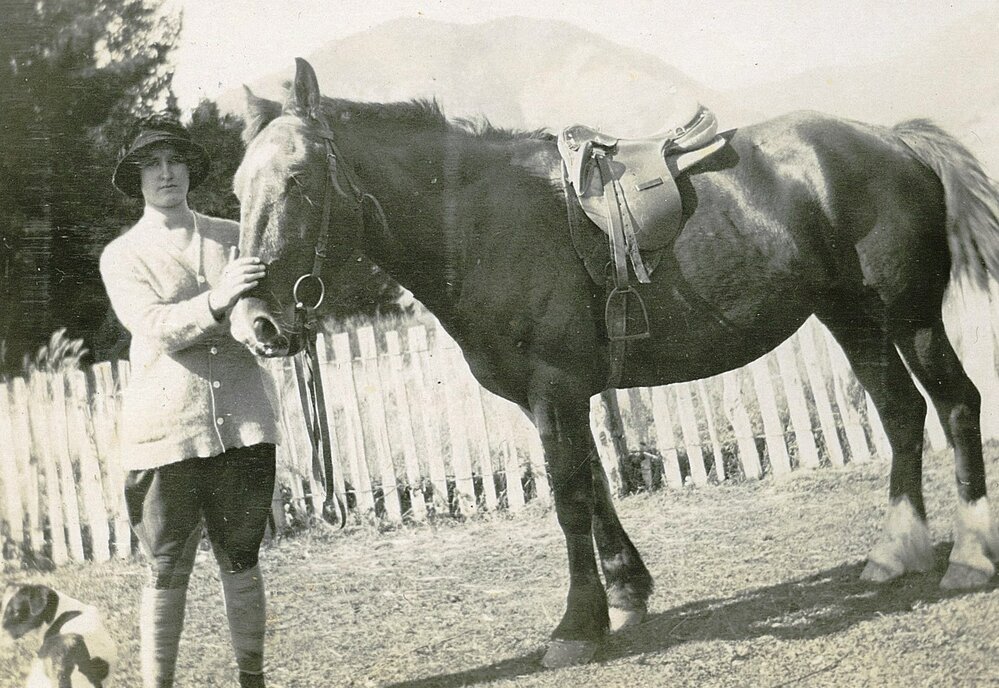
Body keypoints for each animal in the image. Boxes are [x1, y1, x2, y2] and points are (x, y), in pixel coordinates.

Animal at [229, 58, 999, 668]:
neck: (485, 220)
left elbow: (570, 498)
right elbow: (596, 486)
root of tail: (893, 139)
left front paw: (576, 626)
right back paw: (894, 552)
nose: (255, 323)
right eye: (238, 188)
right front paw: (626, 595)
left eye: (297, 179)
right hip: (850, 317)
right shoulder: (555, 396)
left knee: (955, 405)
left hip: (909, 316)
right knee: (901, 412)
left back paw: (968, 556)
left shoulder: (556, 389)